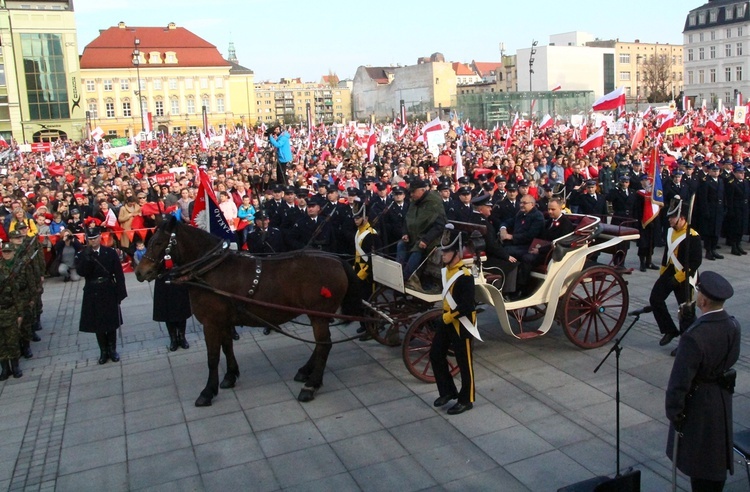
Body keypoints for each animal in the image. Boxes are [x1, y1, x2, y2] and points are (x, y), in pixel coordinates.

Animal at [135, 217, 362, 406]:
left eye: (158, 243)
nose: (139, 272)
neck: (211, 270)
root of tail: (337, 260)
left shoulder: (210, 322)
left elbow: (212, 357)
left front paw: (208, 391)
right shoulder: (224, 320)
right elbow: (227, 347)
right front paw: (230, 376)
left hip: (318, 315)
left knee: (324, 345)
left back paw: (311, 385)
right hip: (318, 315)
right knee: (321, 344)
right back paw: (306, 372)